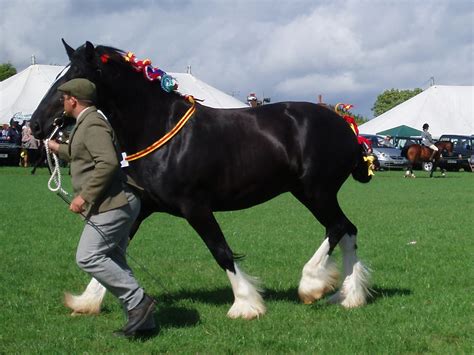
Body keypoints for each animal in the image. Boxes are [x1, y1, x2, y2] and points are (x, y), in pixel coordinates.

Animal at [31, 40, 374, 322]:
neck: (161, 130)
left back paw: (312, 285)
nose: (35, 124)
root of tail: (345, 126)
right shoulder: (143, 205)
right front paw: (86, 301)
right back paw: (349, 296)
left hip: (317, 192)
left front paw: (245, 304)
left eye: (73, 77)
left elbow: (220, 250)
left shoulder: (196, 208)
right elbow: (111, 249)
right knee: (348, 230)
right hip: (308, 193)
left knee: (338, 227)